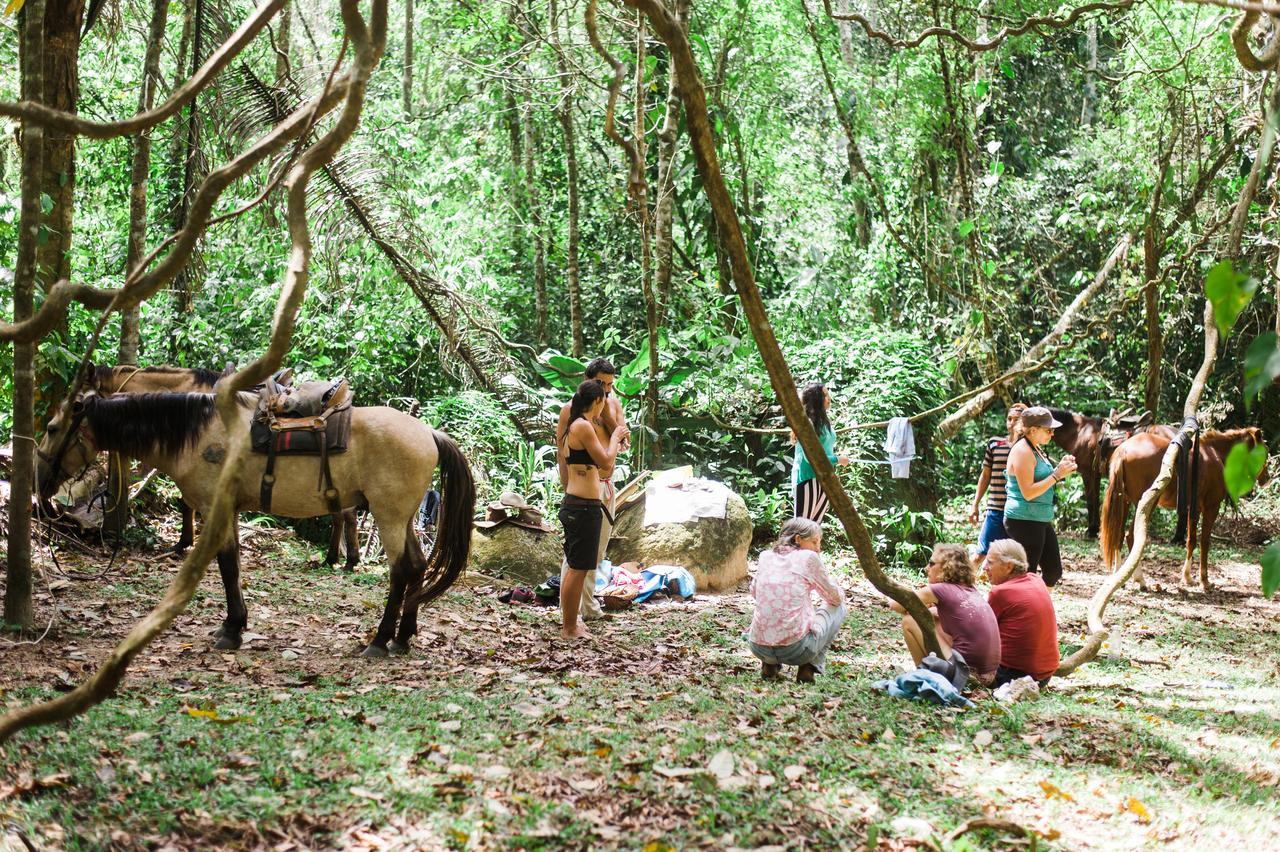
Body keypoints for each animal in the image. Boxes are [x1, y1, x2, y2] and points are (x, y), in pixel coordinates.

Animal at [36, 388, 476, 652]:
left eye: (53, 427)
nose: (40, 482)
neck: (202, 434)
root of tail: (428, 433)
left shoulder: (214, 507)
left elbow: (227, 566)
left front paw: (231, 630)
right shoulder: (227, 509)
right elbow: (232, 566)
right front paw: (235, 625)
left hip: (388, 516)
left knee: (401, 571)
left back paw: (380, 640)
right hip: (402, 518)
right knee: (418, 566)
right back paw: (403, 637)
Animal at [83, 360, 360, 568]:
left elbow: (186, 503)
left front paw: (185, 542)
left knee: (346, 513)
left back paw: (346, 560)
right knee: (342, 513)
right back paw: (336, 558)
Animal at [1100, 427, 1269, 588]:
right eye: (1265, 453)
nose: (1266, 478)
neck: (1216, 455)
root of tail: (1123, 451)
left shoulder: (1194, 509)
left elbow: (1191, 541)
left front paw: (1187, 577)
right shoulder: (1211, 507)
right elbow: (1205, 542)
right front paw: (1204, 581)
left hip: (1124, 501)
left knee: (1118, 534)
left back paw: (1118, 577)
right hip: (1145, 505)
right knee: (1131, 537)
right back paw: (1140, 580)